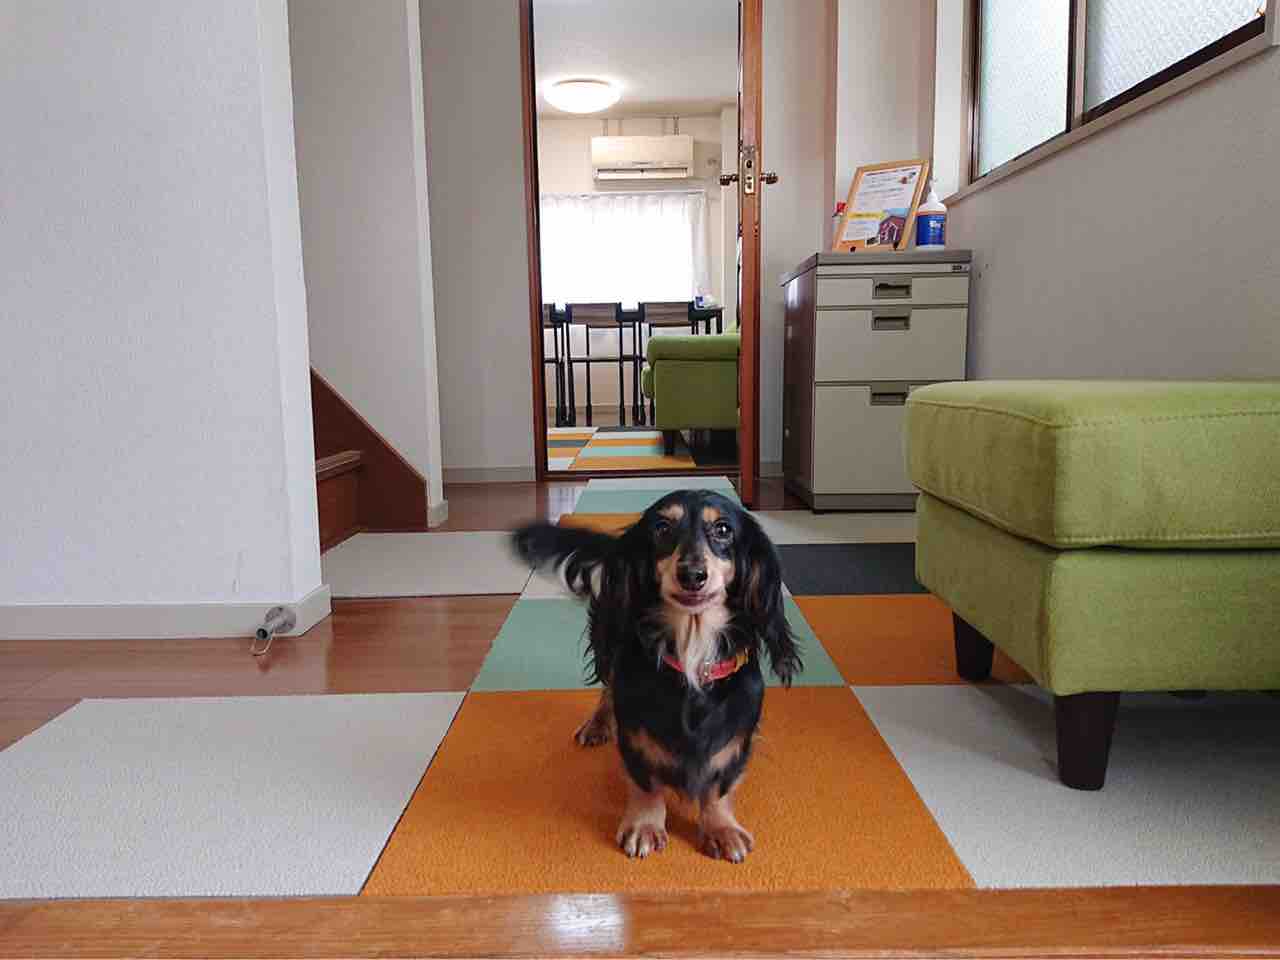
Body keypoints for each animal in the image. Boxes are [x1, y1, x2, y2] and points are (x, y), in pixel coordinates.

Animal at [513, 489, 799, 862]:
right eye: (662, 527)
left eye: (723, 529)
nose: (692, 574)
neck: (692, 651)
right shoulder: (635, 731)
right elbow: (645, 781)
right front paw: (645, 826)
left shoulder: (738, 732)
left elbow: (720, 785)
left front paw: (721, 829)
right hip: (611, 642)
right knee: (607, 688)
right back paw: (597, 725)